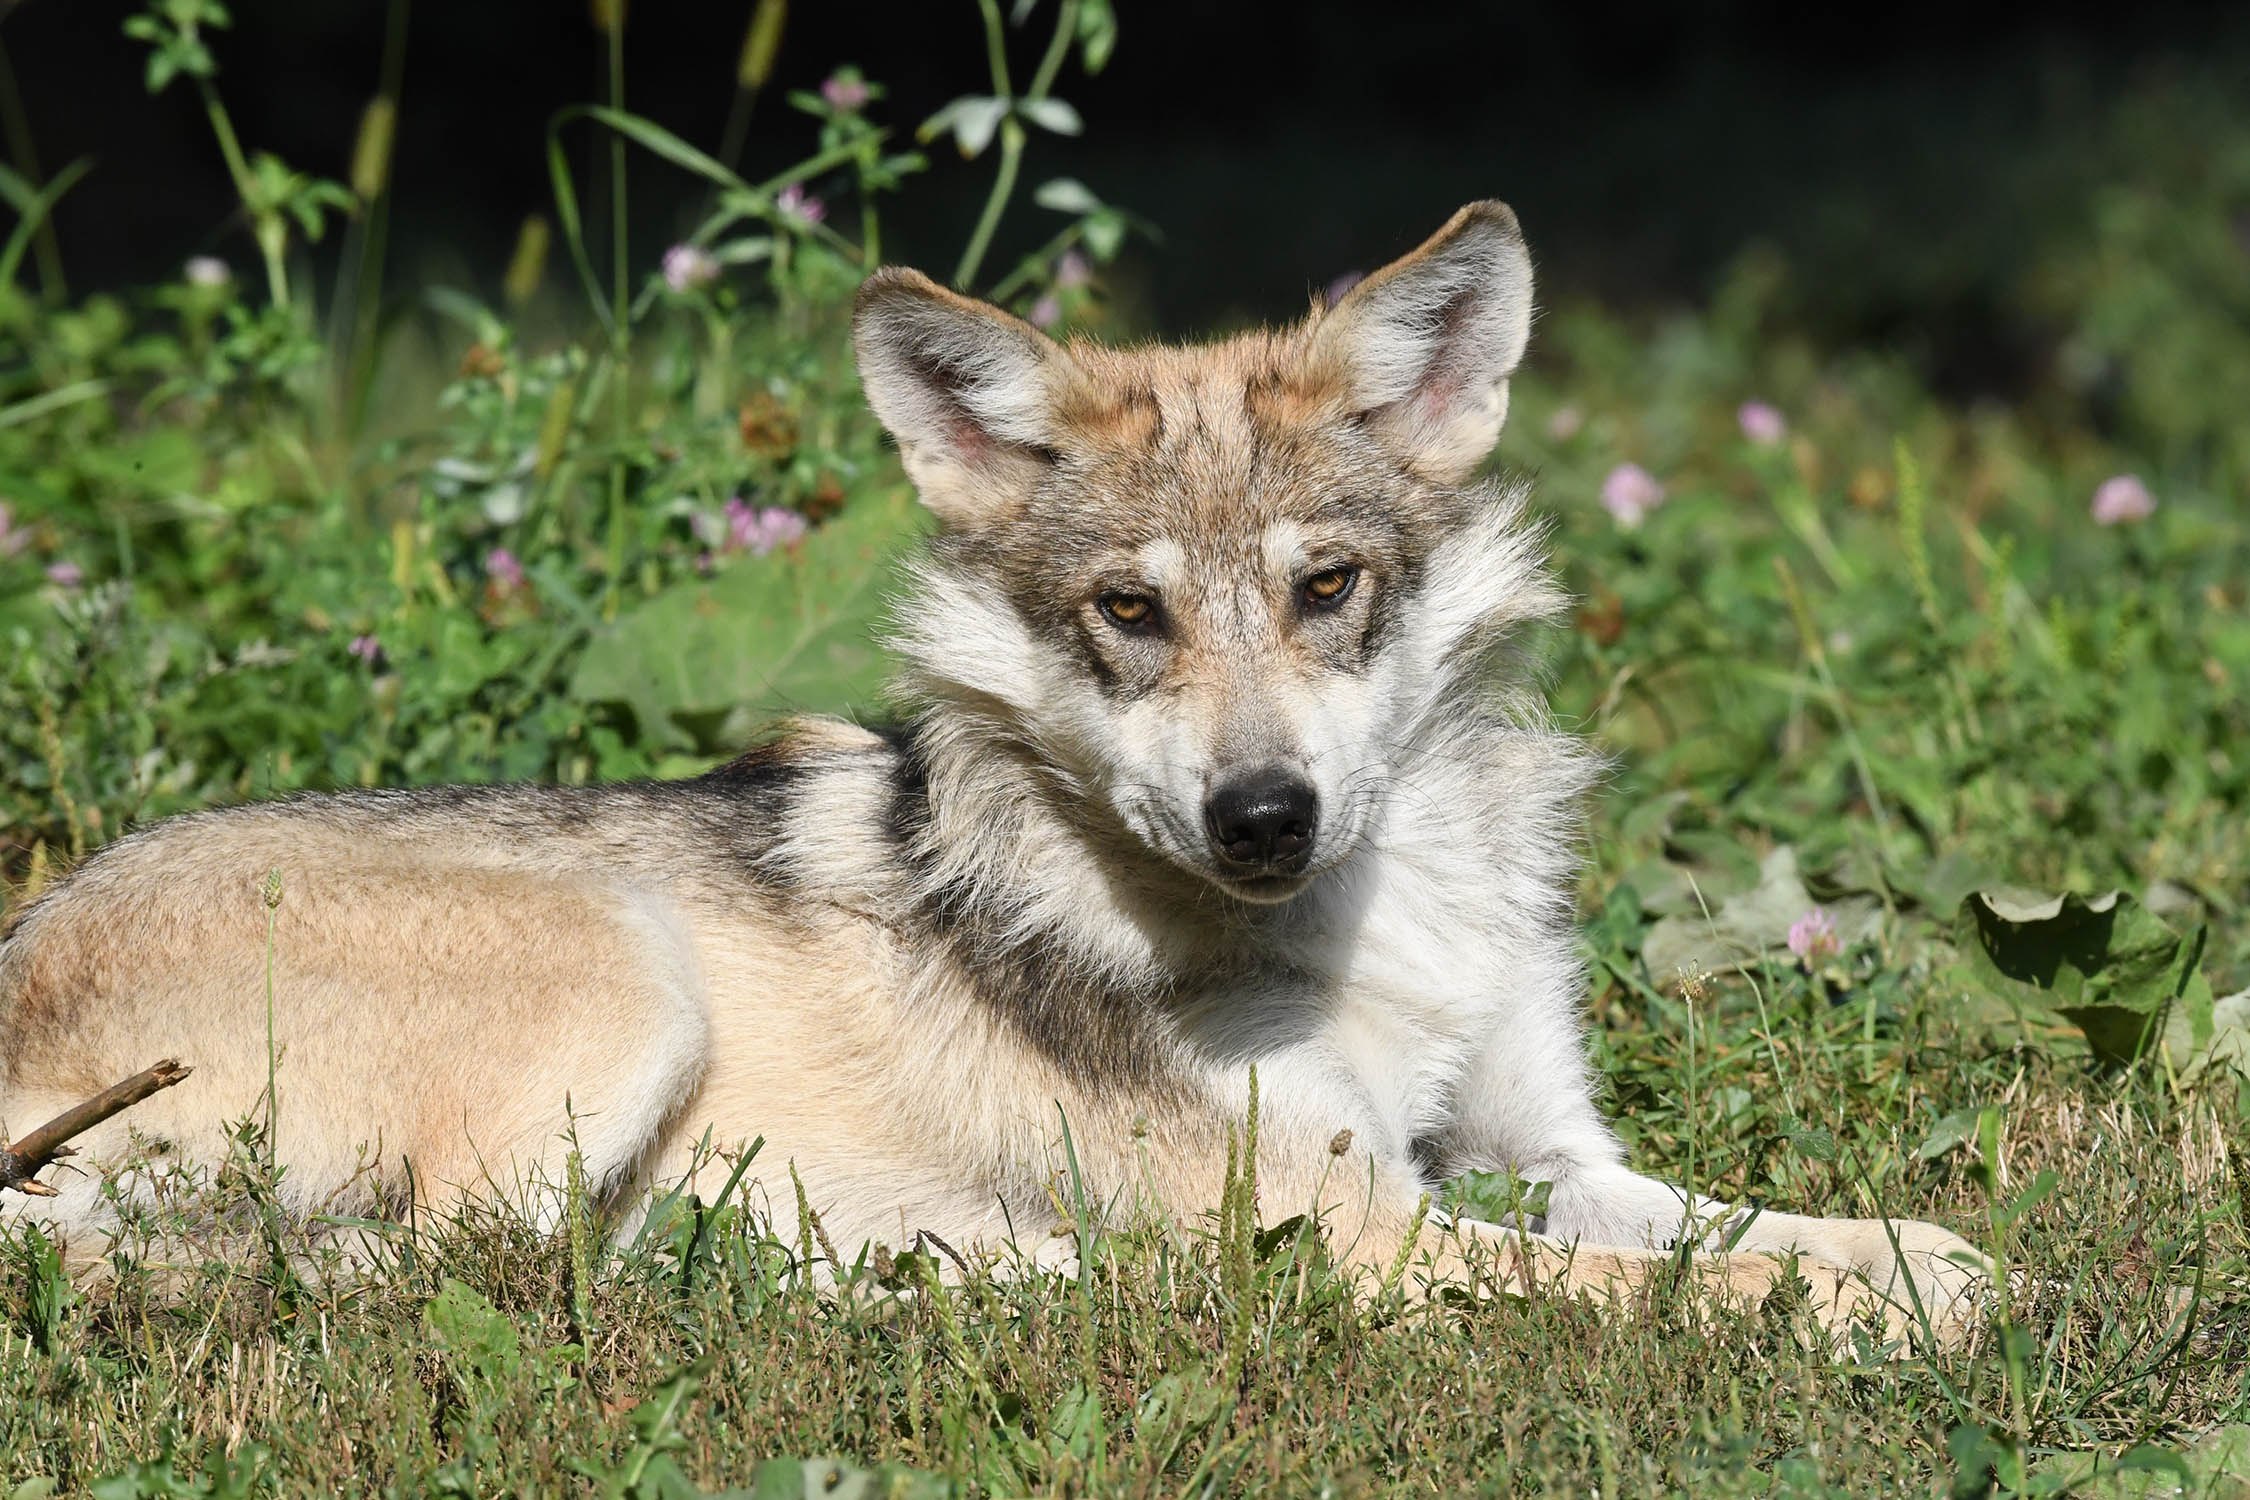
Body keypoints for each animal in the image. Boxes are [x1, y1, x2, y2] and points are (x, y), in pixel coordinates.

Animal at [0, 202, 1985, 1339]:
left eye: (1324, 588)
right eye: (1128, 613)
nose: (1264, 816)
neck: (1369, 931)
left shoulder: (1543, 1147)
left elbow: (1747, 1223)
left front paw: (1928, 1259)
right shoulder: (1348, 1236)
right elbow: (1682, 1283)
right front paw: (1877, 1317)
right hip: (620, 976)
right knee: (475, 1271)